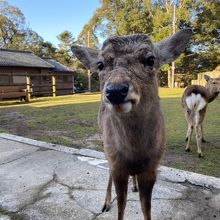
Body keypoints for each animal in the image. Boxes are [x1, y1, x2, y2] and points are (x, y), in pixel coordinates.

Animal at [71, 29, 192, 220]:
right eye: (100, 64)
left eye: (150, 59)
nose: (115, 91)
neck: (135, 153)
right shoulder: (117, 165)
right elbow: (121, 205)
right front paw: (111, 203)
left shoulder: (152, 168)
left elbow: (146, 207)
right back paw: (106, 203)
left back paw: (134, 185)